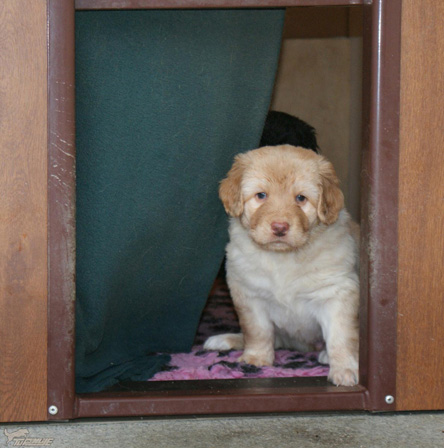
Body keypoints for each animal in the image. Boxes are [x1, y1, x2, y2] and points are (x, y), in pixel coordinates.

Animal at [205, 145, 360, 386]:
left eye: (301, 198)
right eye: (261, 195)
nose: (279, 227)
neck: (283, 258)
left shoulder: (337, 291)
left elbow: (340, 335)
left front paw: (345, 370)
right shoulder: (249, 293)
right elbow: (257, 330)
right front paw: (256, 358)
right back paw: (225, 339)